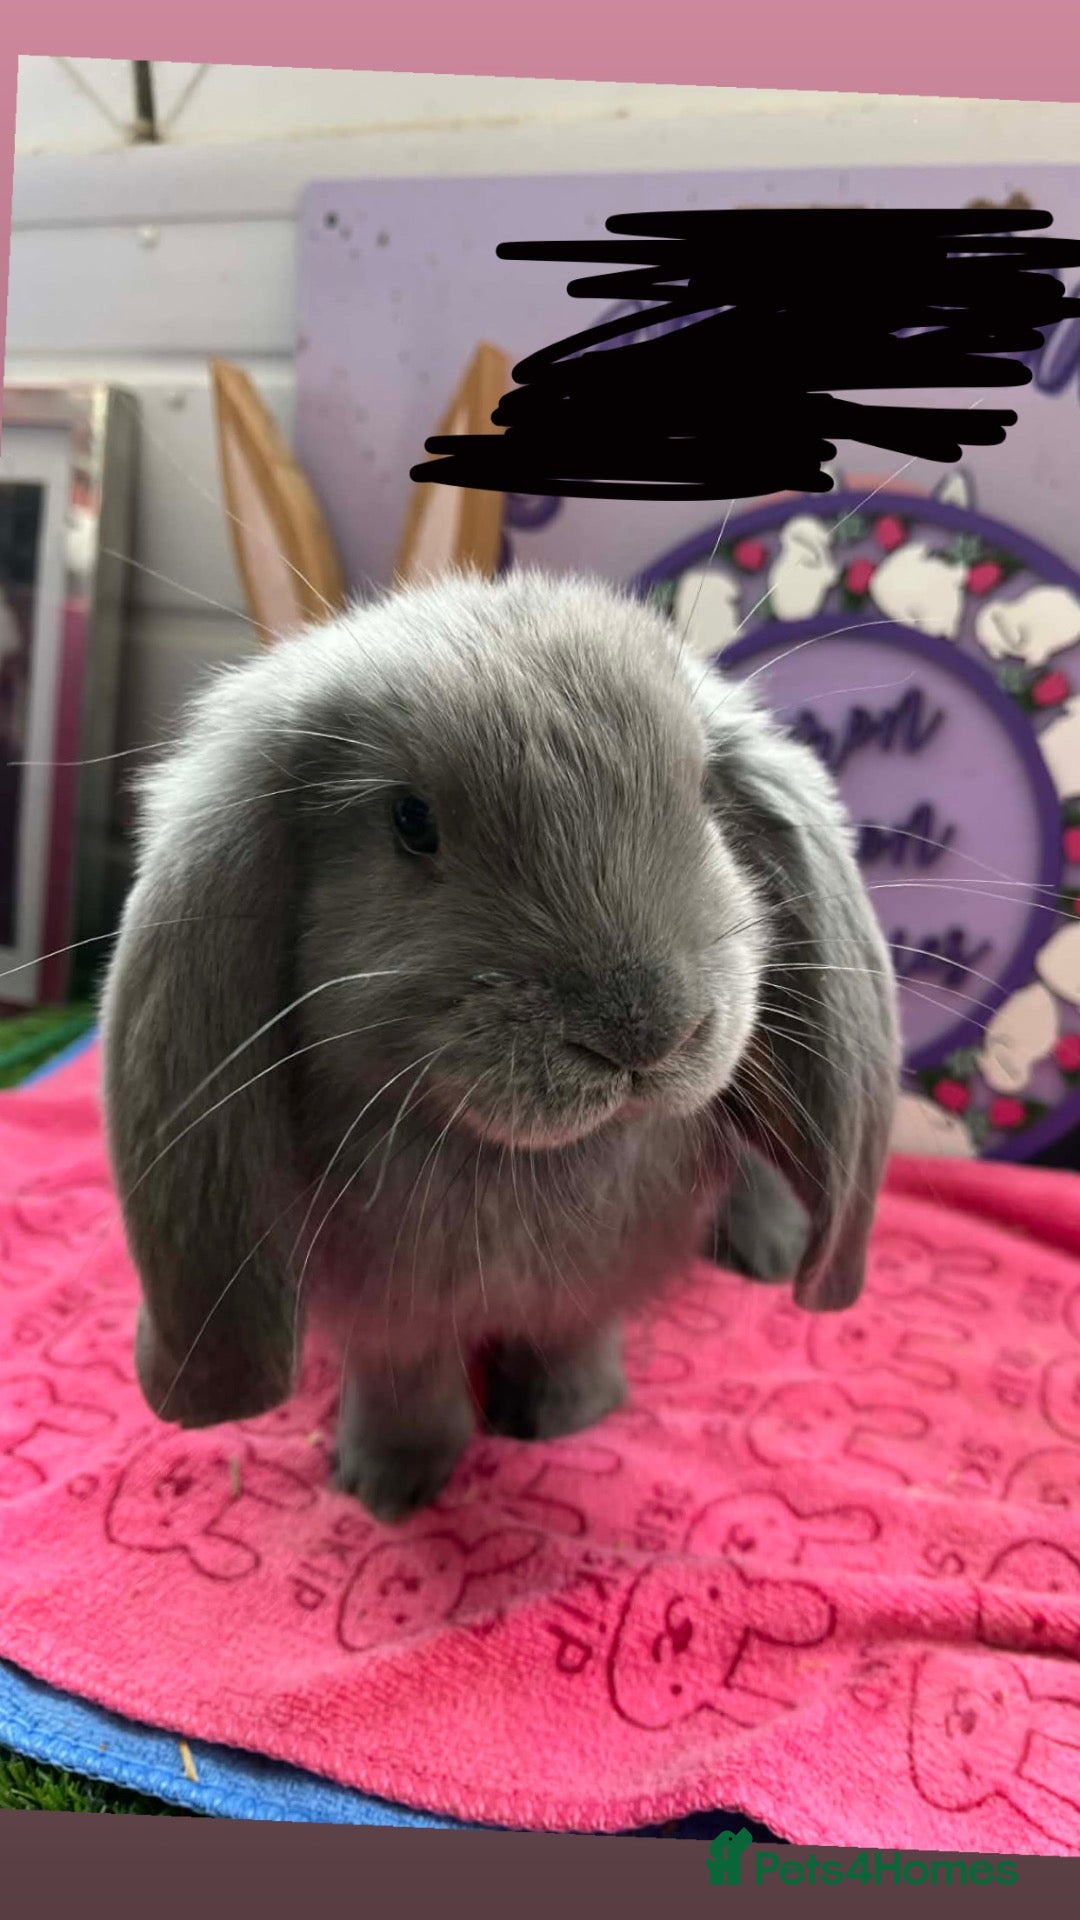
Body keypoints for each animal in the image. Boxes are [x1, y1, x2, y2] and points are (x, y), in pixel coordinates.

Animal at [99, 568, 899, 1525]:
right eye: (411, 821)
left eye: (704, 793)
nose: (643, 1031)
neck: (518, 1165)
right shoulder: (386, 1306)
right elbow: (407, 1379)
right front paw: (389, 1486)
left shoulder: (595, 1279)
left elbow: (571, 1338)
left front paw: (565, 1419)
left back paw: (769, 1249)